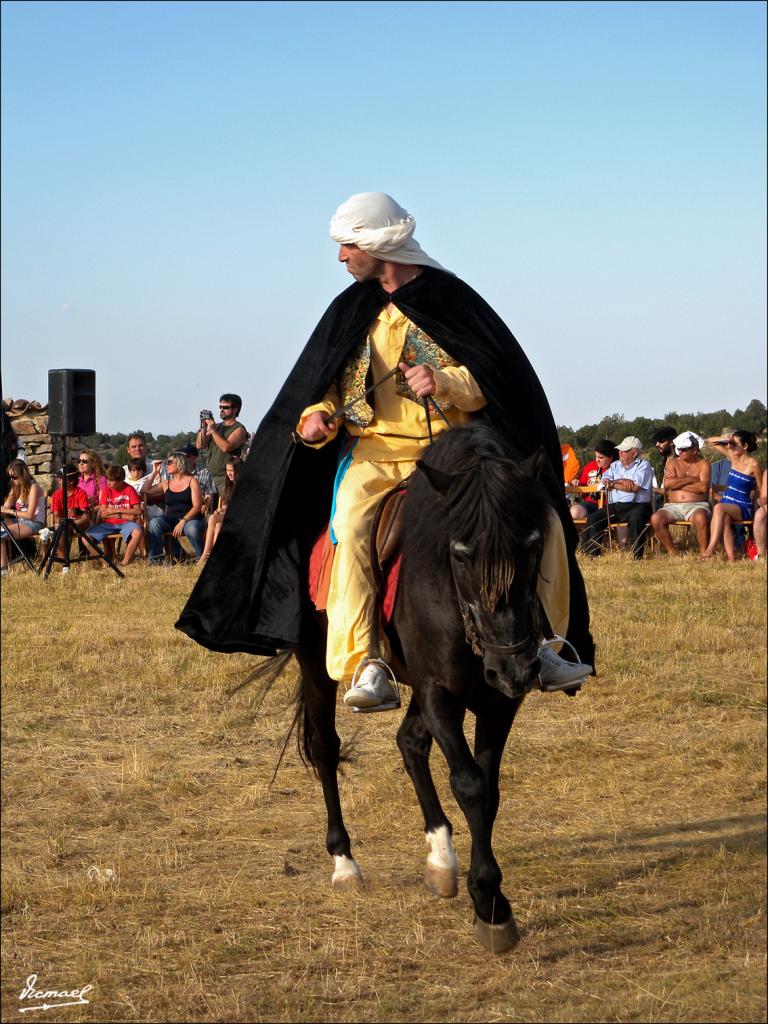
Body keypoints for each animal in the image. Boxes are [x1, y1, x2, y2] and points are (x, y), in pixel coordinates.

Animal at [286, 421, 548, 950]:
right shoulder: (437, 692)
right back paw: (344, 862)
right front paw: (490, 902)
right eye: (461, 553)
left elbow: (488, 787)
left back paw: (440, 860)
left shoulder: (495, 702)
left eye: (532, 546)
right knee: (326, 749)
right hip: (316, 665)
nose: (514, 668)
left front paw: (483, 892)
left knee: (408, 742)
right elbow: (469, 783)